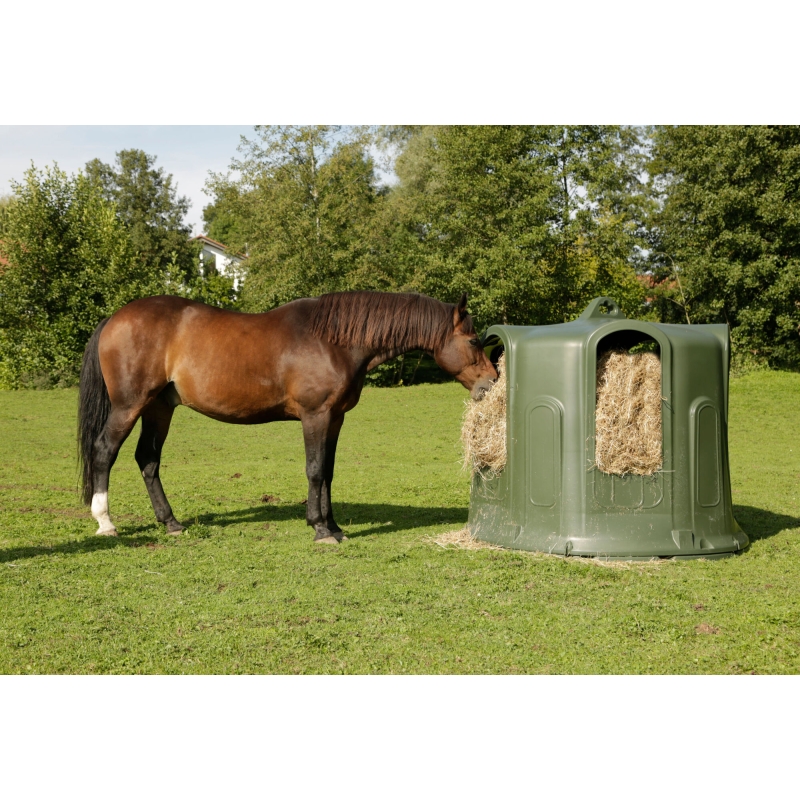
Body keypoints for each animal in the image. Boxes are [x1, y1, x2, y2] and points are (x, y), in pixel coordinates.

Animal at [77, 291, 497, 544]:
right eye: (473, 341)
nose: (492, 382)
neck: (333, 341)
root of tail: (115, 319)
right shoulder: (315, 416)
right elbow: (314, 470)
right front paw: (320, 529)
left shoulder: (335, 419)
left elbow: (328, 472)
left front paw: (334, 526)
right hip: (130, 406)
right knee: (104, 452)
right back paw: (105, 522)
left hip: (159, 408)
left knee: (148, 459)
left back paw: (171, 523)